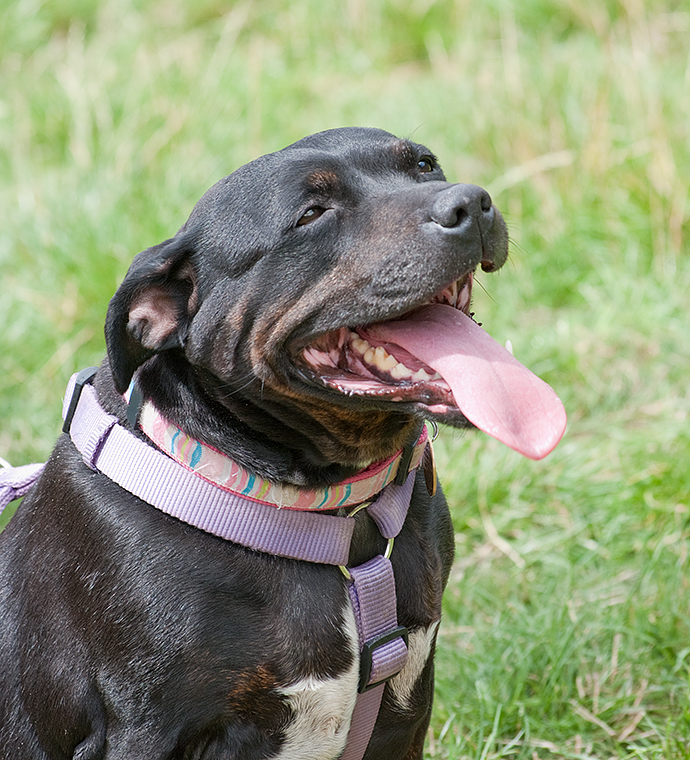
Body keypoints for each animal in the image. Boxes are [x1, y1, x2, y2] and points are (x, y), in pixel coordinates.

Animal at [0, 131, 564, 760]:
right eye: (311, 215)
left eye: (424, 165)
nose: (472, 202)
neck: (337, 513)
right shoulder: (142, 732)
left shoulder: (406, 708)